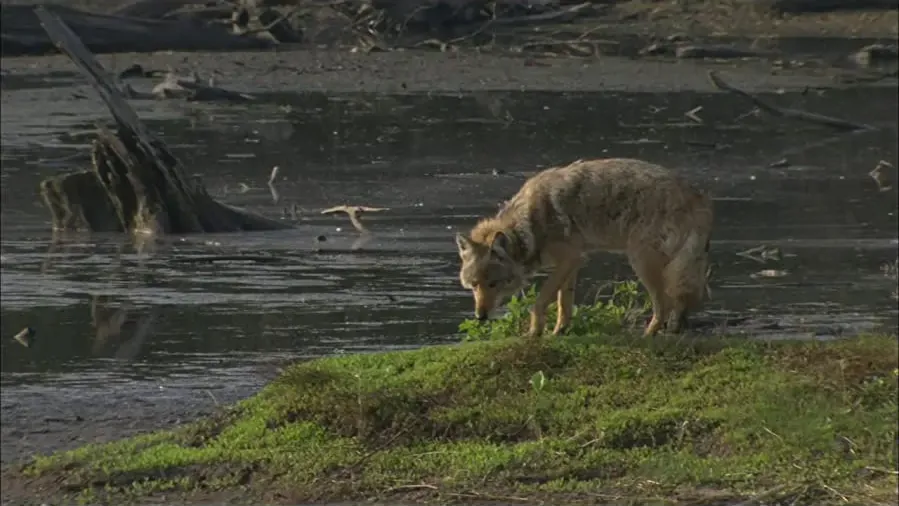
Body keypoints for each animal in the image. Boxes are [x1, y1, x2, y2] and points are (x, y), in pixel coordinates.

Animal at [455, 158, 713, 338]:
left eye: (493, 284)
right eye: (474, 285)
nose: (480, 316)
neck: (528, 226)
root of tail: (697, 196)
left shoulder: (569, 259)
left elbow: (540, 301)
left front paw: (534, 333)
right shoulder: (575, 261)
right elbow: (564, 303)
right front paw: (559, 331)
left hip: (641, 262)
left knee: (665, 303)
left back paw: (648, 335)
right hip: (673, 265)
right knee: (678, 301)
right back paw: (674, 329)